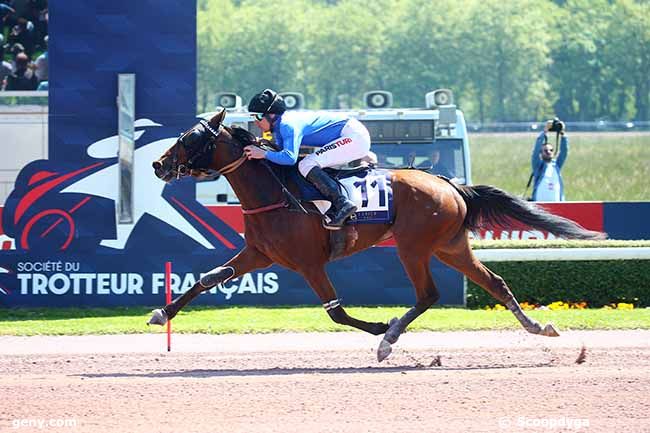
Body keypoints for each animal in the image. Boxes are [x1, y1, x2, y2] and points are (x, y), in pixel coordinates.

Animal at [147, 109, 604, 360]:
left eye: (191, 138)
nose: (158, 164)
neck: (275, 193)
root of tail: (450, 184)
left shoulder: (310, 263)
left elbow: (335, 311)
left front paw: (380, 326)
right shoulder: (259, 255)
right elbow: (207, 279)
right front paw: (161, 313)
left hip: (414, 246)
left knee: (428, 294)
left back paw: (389, 338)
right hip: (450, 246)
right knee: (494, 282)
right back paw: (538, 327)